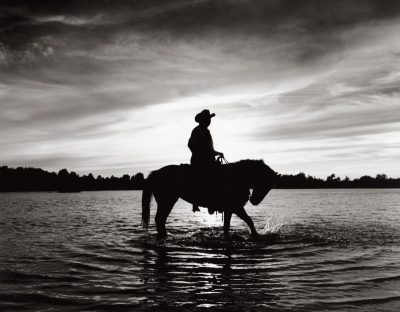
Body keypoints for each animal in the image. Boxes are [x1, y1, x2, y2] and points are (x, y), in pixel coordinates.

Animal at [143, 160, 278, 238]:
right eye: (266, 183)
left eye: (270, 185)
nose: (255, 200)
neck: (235, 177)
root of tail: (156, 173)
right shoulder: (236, 207)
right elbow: (249, 221)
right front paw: (256, 235)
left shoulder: (229, 209)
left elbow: (227, 226)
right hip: (167, 201)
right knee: (160, 219)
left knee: (160, 220)